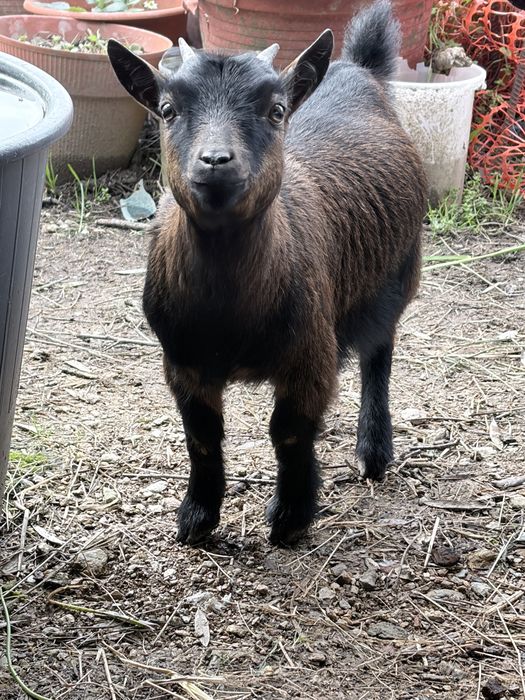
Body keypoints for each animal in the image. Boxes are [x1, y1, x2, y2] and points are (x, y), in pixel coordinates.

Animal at [108, 0, 427, 546]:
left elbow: (290, 431)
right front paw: (197, 517)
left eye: (276, 110)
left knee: (378, 354)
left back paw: (373, 450)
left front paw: (291, 517)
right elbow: (201, 436)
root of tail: (355, 68)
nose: (216, 161)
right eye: (168, 110)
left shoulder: (310, 355)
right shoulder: (182, 363)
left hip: (397, 273)